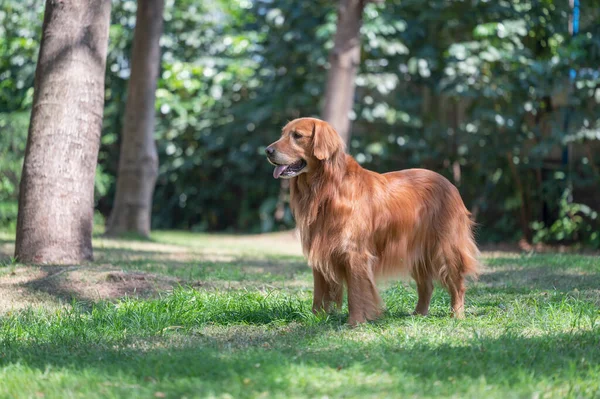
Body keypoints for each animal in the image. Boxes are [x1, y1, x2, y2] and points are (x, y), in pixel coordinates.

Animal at [264, 118, 480, 324]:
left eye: (297, 136)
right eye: (283, 133)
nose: (267, 151)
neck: (328, 189)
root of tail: (449, 183)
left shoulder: (354, 253)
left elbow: (356, 292)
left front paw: (356, 322)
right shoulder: (320, 252)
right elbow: (319, 294)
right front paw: (316, 318)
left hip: (446, 248)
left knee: (457, 284)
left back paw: (457, 315)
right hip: (416, 251)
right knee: (426, 285)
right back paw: (418, 314)